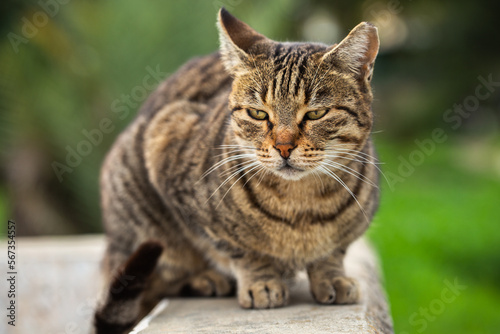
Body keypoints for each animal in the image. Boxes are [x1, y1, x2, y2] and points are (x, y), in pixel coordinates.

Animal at [93, 7, 378, 334]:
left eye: (316, 113)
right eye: (258, 113)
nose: (283, 147)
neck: (301, 206)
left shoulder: (353, 227)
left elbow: (333, 252)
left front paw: (332, 277)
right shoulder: (166, 145)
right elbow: (239, 249)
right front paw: (261, 282)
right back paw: (205, 279)